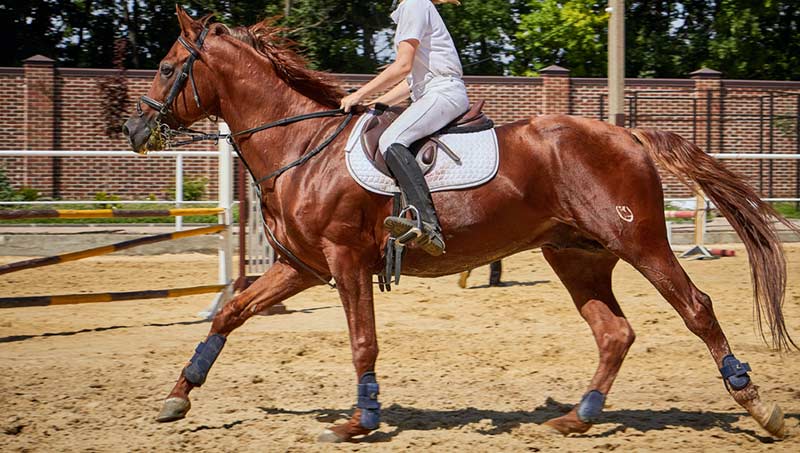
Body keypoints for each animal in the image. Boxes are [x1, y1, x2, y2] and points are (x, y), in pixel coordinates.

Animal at [125, 9, 792, 442]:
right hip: (577, 254)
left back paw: (758, 407)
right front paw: (179, 395)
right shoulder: (303, 268)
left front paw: (359, 420)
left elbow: (362, 340)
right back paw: (577, 416)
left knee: (696, 308)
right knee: (613, 332)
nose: (133, 130)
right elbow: (230, 313)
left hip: (640, 241)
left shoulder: (344, 262)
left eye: (164, 67)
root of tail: (626, 133)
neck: (301, 147)